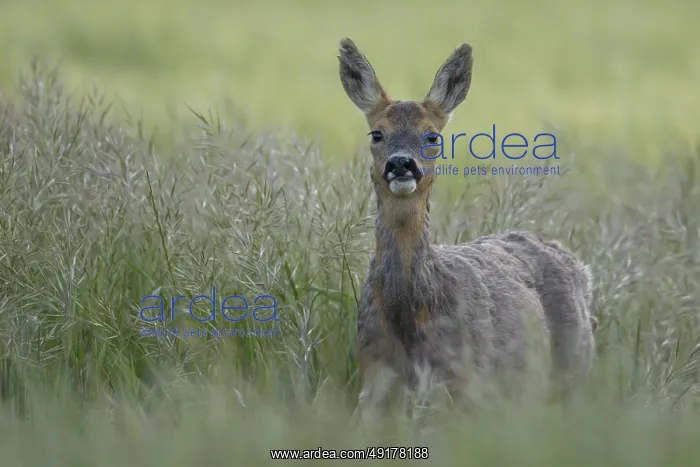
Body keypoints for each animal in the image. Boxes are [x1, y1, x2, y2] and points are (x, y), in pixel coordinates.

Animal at [337, 38, 598, 425]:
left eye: (431, 135)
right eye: (377, 133)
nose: (401, 164)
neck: (410, 314)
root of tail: (579, 268)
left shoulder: (458, 381)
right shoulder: (372, 372)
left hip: (572, 370)